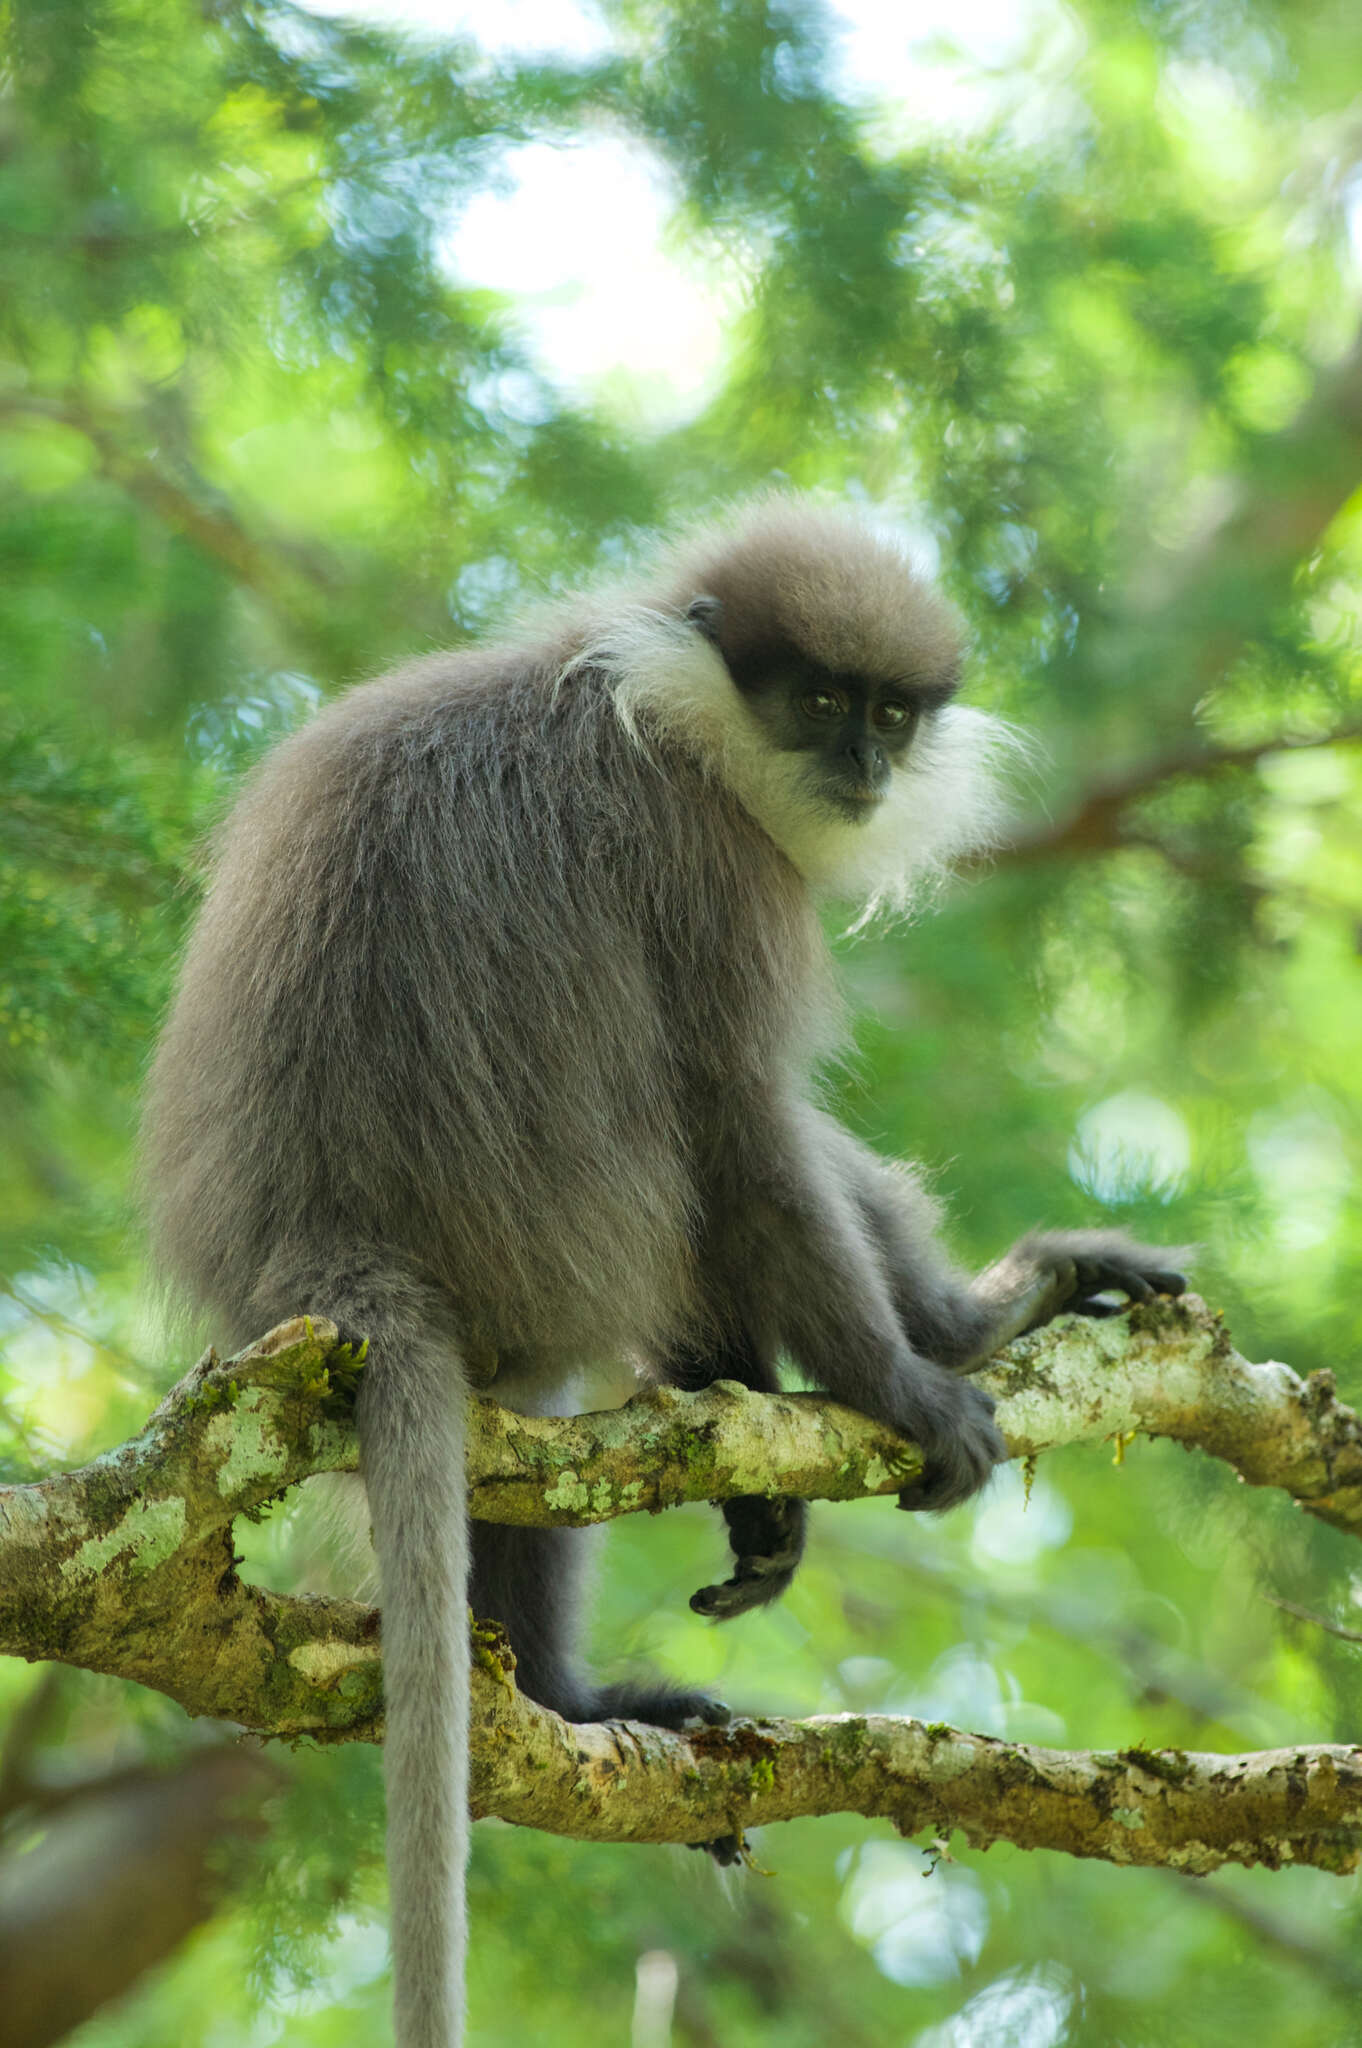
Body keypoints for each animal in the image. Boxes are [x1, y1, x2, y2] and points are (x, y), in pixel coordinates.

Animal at [138, 499, 1179, 2048]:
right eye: (820, 703)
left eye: (887, 710)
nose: (865, 763)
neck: (640, 697)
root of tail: (329, 1247)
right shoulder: (712, 866)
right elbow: (743, 1129)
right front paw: (904, 1386)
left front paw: (766, 1486)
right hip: (567, 1236)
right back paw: (966, 1327)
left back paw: (562, 1693)